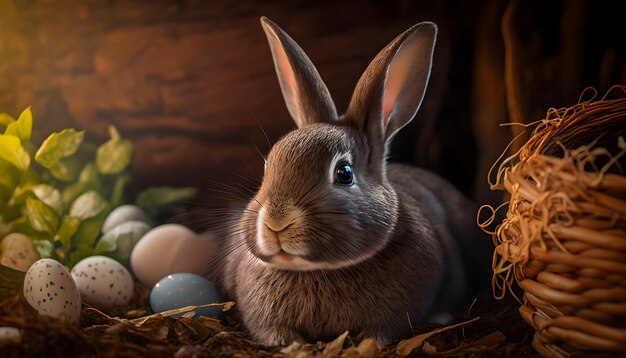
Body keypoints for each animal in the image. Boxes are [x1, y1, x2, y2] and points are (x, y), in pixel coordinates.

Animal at [206, 16, 492, 346]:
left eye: (344, 173)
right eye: (267, 165)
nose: (277, 222)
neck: (315, 270)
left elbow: (383, 330)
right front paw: (290, 343)